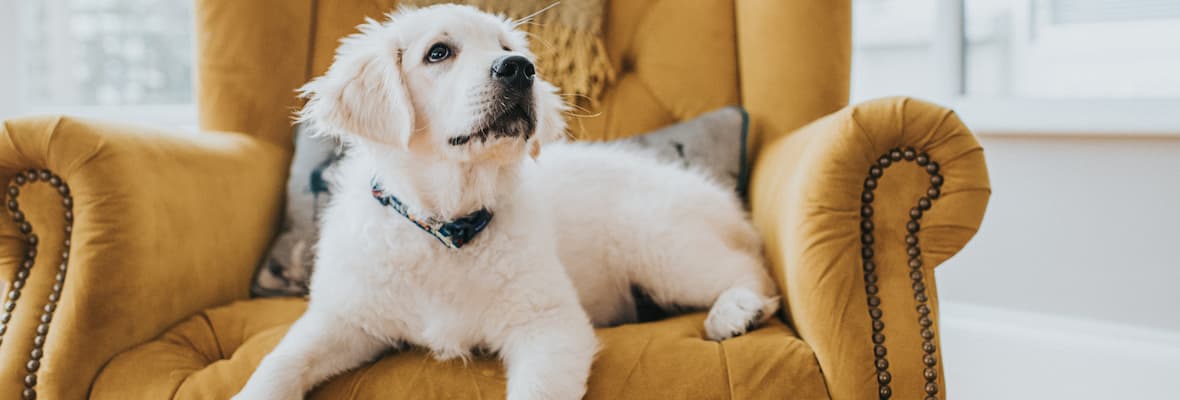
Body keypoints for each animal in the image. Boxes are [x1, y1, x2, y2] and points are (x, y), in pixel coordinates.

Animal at [234, 3, 778, 400]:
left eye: (508, 48)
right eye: (438, 53)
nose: (521, 69)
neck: (446, 227)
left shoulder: (550, 324)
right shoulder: (346, 318)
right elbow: (279, 362)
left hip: (659, 247)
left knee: (752, 271)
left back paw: (736, 311)